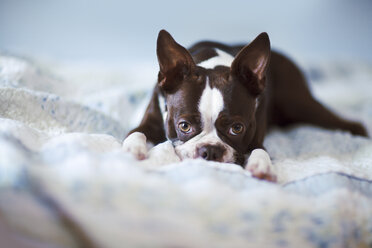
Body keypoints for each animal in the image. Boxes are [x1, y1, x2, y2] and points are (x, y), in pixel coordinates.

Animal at [123, 29, 370, 180]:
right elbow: (136, 132)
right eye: (184, 126)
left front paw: (261, 166)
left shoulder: (256, 135)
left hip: (302, 104)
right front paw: (133, 149)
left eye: (237, 128)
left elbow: (260, 150)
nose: (210, 151)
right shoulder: (152, 118)